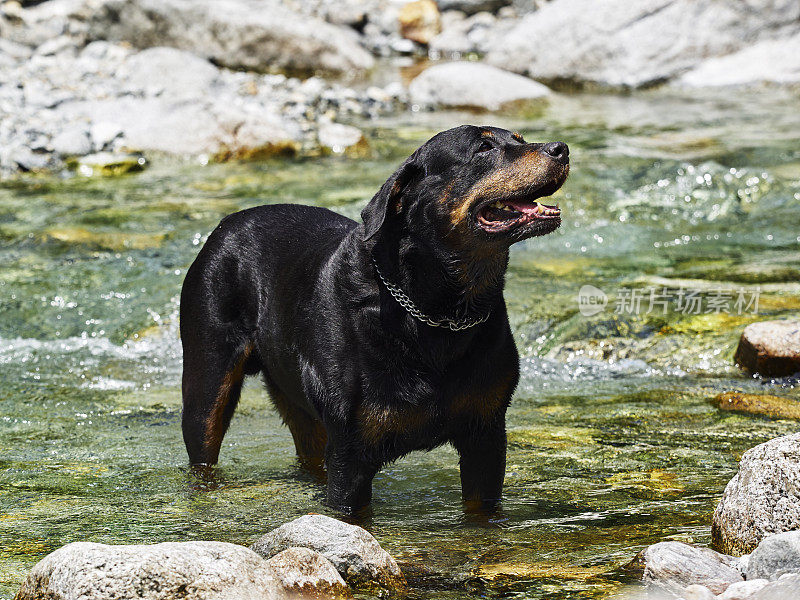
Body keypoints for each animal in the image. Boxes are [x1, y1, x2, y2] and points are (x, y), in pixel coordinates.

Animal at [181, 125, 568, 510]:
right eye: (484, 148)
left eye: (519, 139)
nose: (561, 149)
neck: (438, 314)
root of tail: (227, 222)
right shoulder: (350, 451)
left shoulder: (486, 435)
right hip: (207, 382)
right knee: (203, 449)